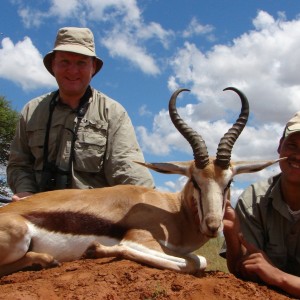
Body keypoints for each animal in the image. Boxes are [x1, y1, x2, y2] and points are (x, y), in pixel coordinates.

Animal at [0, 87, 282, 276]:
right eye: (194, 180)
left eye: (229, 183)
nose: (213, 226)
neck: (173, 214)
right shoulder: (138, 239)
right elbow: (193, 262)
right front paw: (96, 250)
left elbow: (198, 260)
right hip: (20, 236)